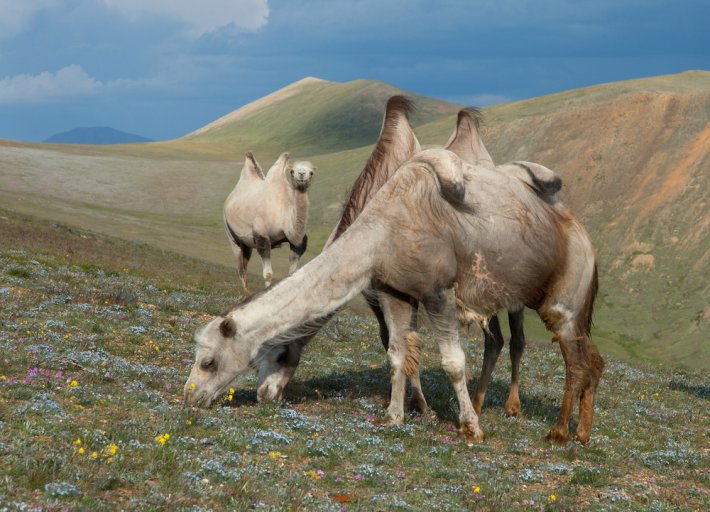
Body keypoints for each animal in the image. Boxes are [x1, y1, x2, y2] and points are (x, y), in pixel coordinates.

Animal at [224, 152, 316, 294]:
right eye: (292, 171)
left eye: (311, 172)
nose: (301, 174)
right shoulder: (262, 236)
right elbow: (268, 274)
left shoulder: (298, 242)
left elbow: (292, 271)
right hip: (230, 233)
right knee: (240, 267)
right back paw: (246, 293)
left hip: (247, 243)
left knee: (244, 263)